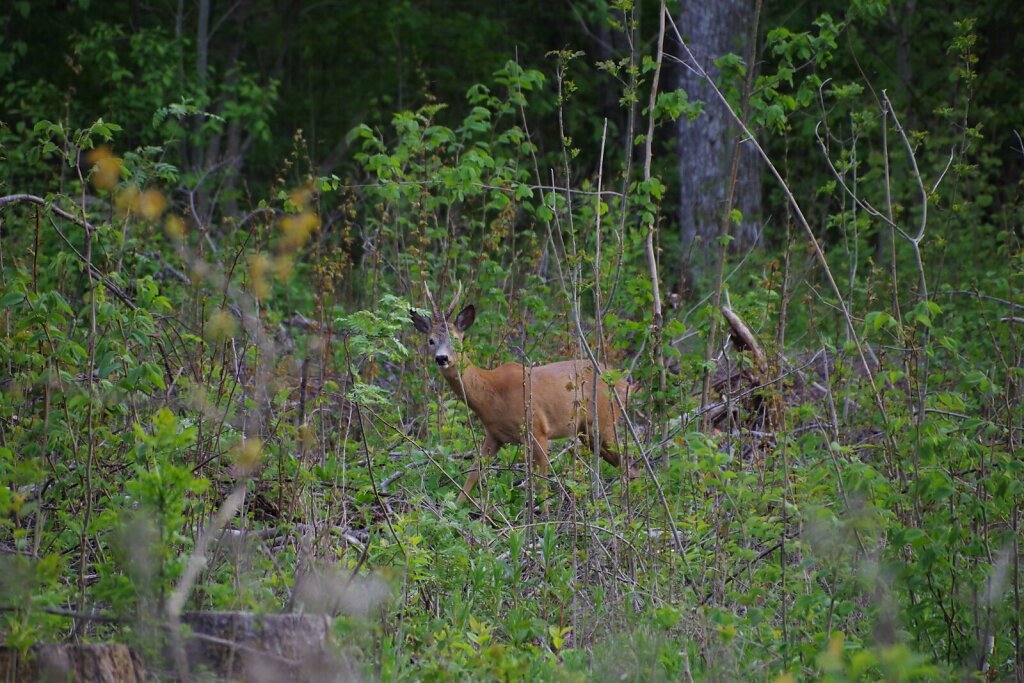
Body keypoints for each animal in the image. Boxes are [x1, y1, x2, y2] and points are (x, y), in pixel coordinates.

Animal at [405, 282, 630, 501]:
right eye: (431, 340)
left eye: (456, 339)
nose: (442, 358)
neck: (492, 395)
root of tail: (624, 383)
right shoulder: (494, 435)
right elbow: (472, 476)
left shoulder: (538, 429)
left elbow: (541, 486)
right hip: (587, 432)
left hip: (604, 422)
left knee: (628, 463)